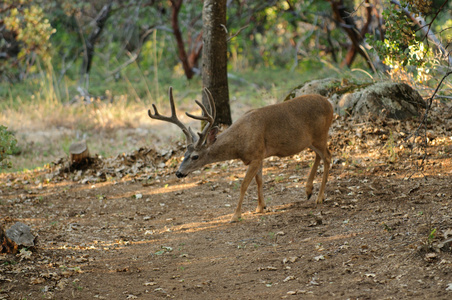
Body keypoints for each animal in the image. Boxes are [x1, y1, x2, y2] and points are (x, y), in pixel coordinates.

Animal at [147, 86, 332, 223]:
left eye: (195, 156)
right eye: (184, 153)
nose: (179, 173)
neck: (239, 144)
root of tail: (329, 104)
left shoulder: (255, 155)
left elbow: (243, 184)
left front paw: (235, 215)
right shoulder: (260, 155)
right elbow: (259, 181)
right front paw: (260, 207)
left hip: (320, 134)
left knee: (328, 156)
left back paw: (320, 197)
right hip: (312, 140)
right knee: (320, 156)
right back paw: (308, 190)